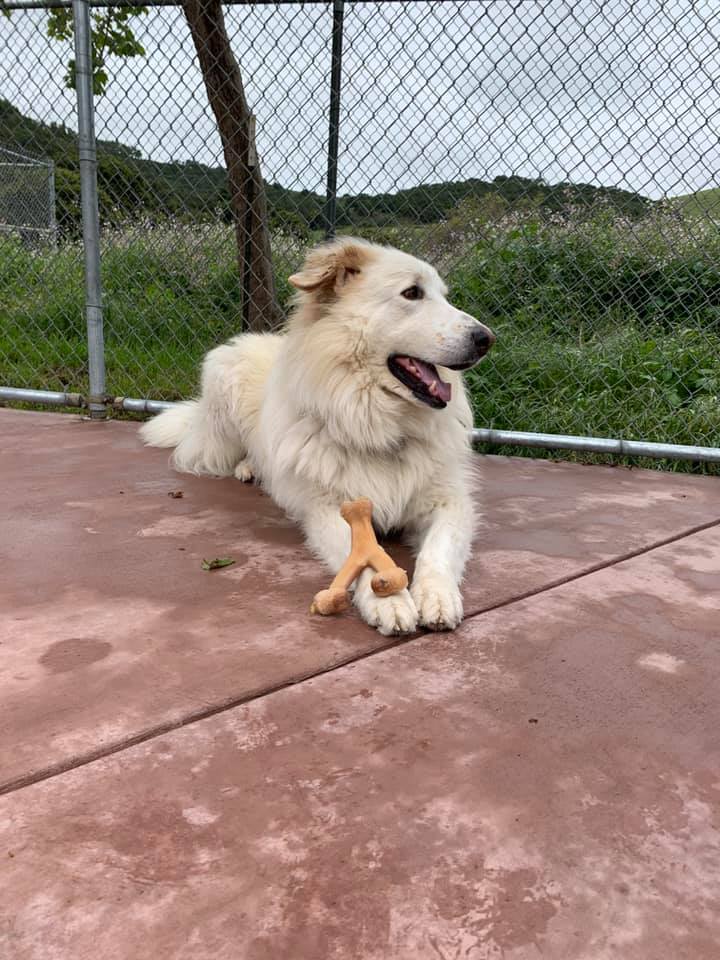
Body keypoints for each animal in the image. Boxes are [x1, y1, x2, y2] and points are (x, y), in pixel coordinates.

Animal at [138, 236, 492, 632]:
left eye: (444, 296)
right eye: (412, 293)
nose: (486, 339)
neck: (376, 424)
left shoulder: (449, 502)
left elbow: (438, 550)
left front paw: (437, 595)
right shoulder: (327, 509)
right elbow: (363, 554)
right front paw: (389, 601)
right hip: (223, 379)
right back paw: (250, 468)